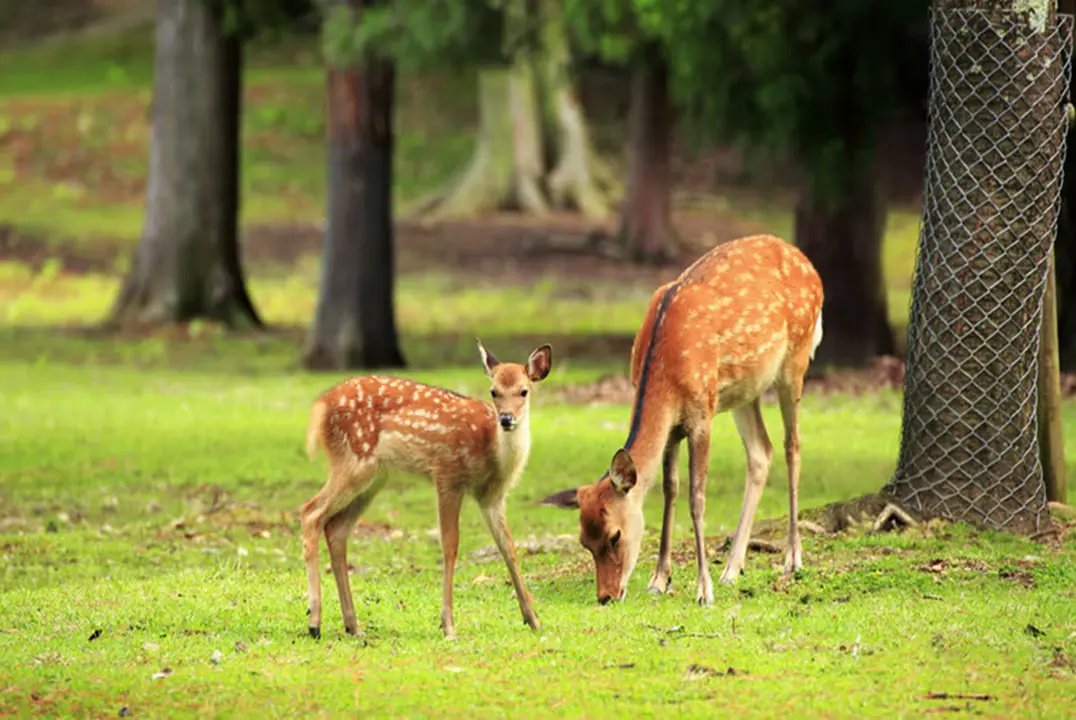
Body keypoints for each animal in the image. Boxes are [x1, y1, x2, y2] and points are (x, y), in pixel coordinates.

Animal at [300, 341, 553, 640]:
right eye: (494, 391)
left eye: (524, 391)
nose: (506, 419)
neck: (491, 451)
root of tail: (320, 406)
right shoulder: (447, 475)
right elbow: (450, 545)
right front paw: (449, 625)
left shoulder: (492, 497)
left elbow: (509, 548)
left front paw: (533, 619)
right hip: (353, 460)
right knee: (310, 512)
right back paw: (314, 621)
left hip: (374, 477)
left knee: (336, 528)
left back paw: (352, 625)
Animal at [543, 234, 823, 606]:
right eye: (584, 542)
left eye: (615, 535)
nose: (606, 596)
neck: (666, 369)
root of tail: (809, 264)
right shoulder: (673, 428)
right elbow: (669, 490)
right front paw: (660, 579)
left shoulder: (701, 414)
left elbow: (696, 498)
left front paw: (703, 589)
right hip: (744, 389)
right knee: (761, 451)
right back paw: (732, 568)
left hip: (795, 362)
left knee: (793, 446)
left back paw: (792, 558)